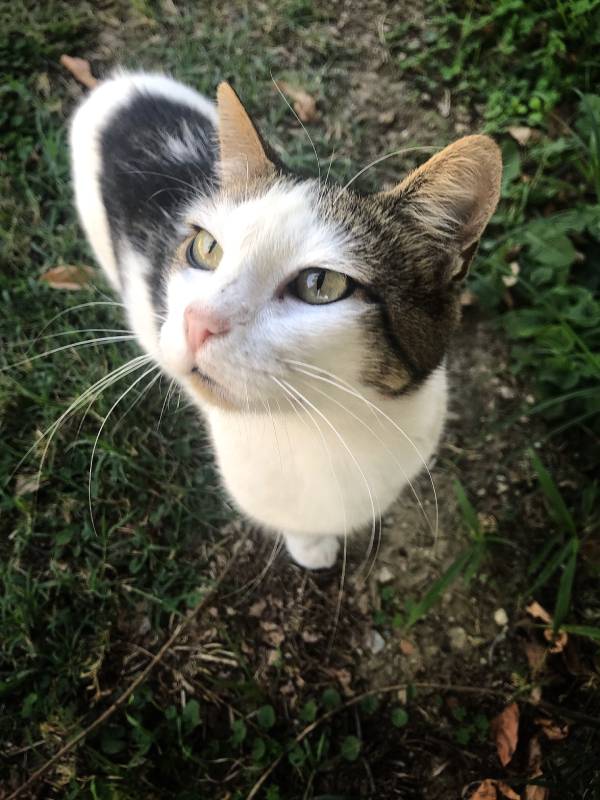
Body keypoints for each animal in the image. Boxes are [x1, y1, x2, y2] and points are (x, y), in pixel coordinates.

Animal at [69, 70, 502, 568]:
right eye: (206, 249)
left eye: (320, 284)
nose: (197, 320)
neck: (330, 428)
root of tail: (124, 85)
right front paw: (311, 546)